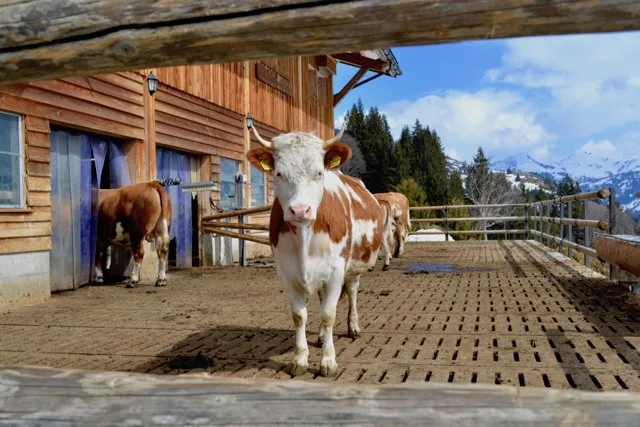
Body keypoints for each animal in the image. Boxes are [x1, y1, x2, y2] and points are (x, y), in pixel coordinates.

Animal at [247, 122, 391, 377]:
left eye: (319, 173)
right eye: (279, 173)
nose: (299, 210)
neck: (305, 238)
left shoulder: (336, 271)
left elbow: (328, 314)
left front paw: (328, 361)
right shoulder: (285, 273)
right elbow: (299, 316)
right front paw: (300, 359)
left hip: (353, 266)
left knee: (352, 291)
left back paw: (353, 326)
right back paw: (323, 336)